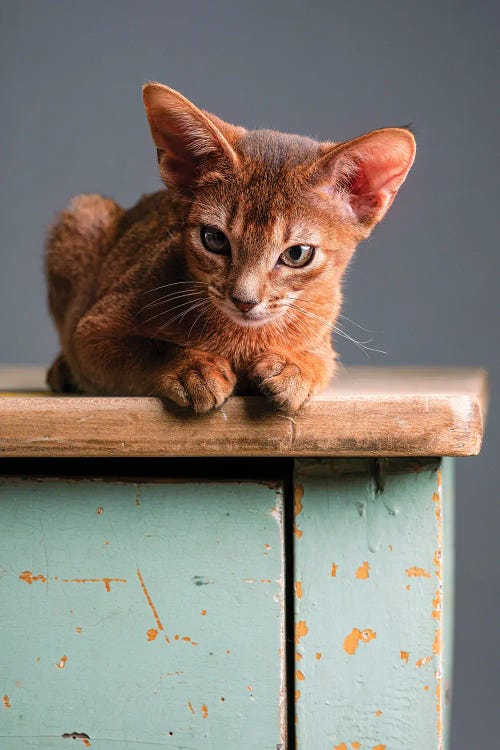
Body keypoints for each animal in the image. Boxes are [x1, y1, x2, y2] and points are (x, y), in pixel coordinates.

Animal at [46, 82, 414, 418]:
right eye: (215, 239)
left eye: (296, 254)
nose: (244, 300)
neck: (244, 338)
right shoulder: (92, 330)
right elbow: (148, 348)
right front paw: (191, 367)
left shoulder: (324, 336)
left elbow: (321, 359)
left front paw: (294, 368)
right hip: (85, 214)